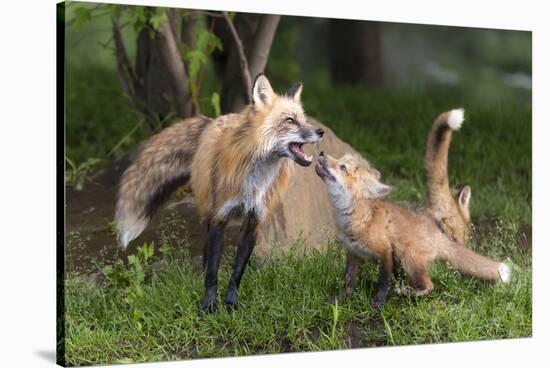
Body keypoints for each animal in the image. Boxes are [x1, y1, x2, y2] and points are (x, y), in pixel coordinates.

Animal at [116, 76, 324, 312]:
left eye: (304, 120)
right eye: (290, 120)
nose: (320, 132)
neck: (254, 181)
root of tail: (213, 120)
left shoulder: (254, 221)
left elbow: (238, 271)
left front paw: (231, 302)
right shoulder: (219, 217)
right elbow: (213, 270)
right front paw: (209, 304)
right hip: (208, 208)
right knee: (207, 251)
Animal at [314, 151, 512, 310]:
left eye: (342, 166)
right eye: (339, 159)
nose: (322, 153)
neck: (358, 217)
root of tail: (439, 235)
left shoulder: (385, 251)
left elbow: (383, 282)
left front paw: (378, 303)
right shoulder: (353, 252)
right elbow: (349, 281)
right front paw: (341, 298)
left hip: (409, 258)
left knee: (429, 285)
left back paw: (406, 292)